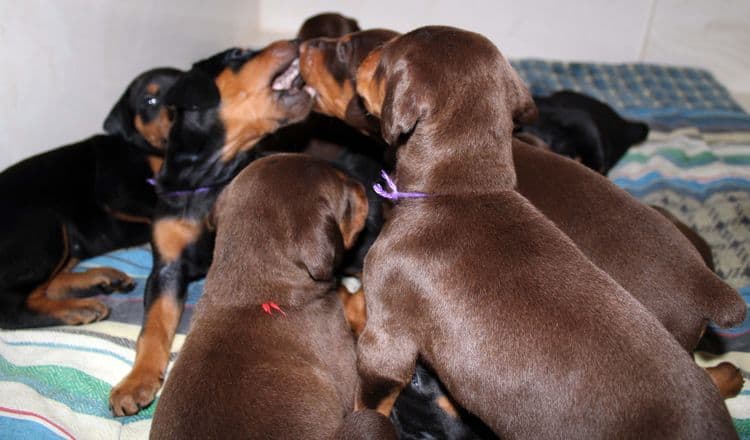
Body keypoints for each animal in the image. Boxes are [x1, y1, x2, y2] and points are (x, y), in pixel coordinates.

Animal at [0, 68, 182, 330]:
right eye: (150, 101)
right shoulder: (119, 190)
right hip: (44, 225)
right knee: (11, 305)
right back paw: (77, 307)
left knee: (45, 287)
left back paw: (100, 279)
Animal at [348, 26, 740, 436]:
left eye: (386, 58)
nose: (363, 52)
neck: (463, 191)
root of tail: (704, 283)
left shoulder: (387, 333)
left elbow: (372, 394)